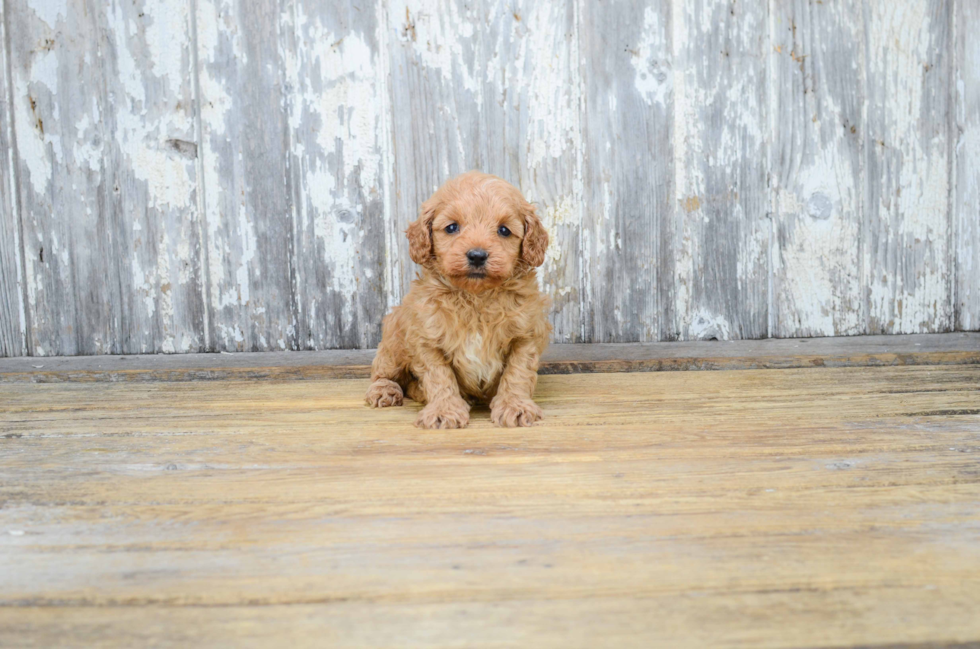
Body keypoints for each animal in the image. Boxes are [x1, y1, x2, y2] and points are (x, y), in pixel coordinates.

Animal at [366, 170, 552, 428]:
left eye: (504, 230)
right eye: (452, 227)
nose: (477, 255)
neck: (476, 297)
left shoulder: (526, 334)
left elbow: (517, 372)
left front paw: (514, 405)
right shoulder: (426, 337)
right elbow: (439, 376)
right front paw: (444, 410)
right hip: (394, 338)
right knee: (382, 371)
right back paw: (385, 390)